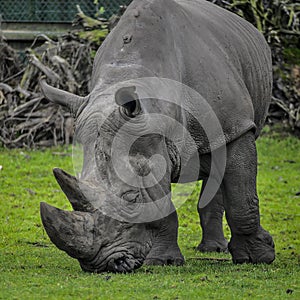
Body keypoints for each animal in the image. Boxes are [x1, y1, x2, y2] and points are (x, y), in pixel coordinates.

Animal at [39, 0, 274, 274]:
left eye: (132, 198)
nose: (102, 265)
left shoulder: (236, 125)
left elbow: (242, 198)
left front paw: (258, 258)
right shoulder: (152, 142)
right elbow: (162, 207)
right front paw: (165, 262)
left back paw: (216, 250)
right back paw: (211, 248)